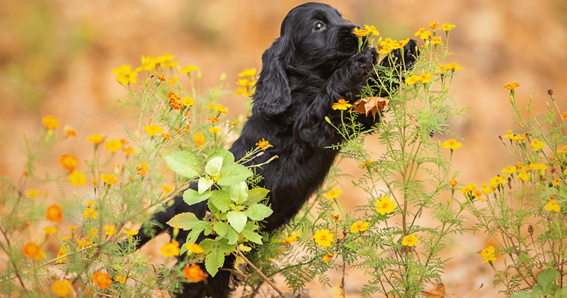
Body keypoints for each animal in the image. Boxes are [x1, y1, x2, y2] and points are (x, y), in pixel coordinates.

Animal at [132, 2, 418, 298]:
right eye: (318, 26)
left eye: (339, 16)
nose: (359, 31)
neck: (301, 83)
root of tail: (174, 207)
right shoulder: (310, 127)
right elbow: (331, 93)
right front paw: (357, 63)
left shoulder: (356, 120)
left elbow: (371, 91)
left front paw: (401, 55)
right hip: (200, 252)